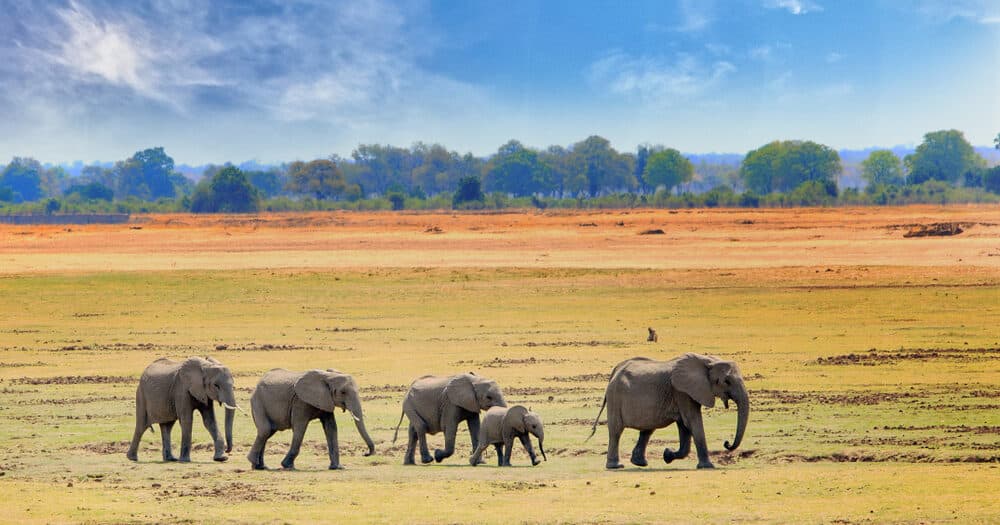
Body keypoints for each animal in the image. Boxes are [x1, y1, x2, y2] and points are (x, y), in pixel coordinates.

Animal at [245, 366, 376, 468]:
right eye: (343, 392)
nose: (365, 453)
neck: (328, 376)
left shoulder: (326, 400)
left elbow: (331, 427)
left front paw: (337, 467)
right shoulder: (300, 401)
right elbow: (300, 427)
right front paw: (287, 466)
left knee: (267, 432)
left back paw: (260, 466)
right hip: (258, 402)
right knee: (265, 431)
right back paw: (255, 463)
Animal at [584, 354, 752, 468]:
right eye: (727, 381)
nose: (727, 443)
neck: (707, 361)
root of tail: (615, 371)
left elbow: (684, 426)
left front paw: (667, 455)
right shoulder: (682, 391)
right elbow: (692, 421)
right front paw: (708, 467)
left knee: (647, 429)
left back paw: (640, 463)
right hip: (615, 397)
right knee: (616, 431)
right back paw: (616, 466)